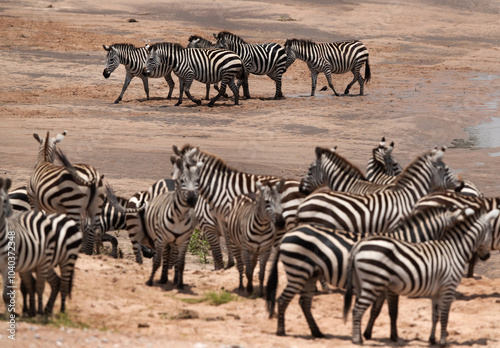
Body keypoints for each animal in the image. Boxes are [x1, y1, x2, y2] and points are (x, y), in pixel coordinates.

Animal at [144, 156, 202, 290]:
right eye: (182, 181)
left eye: (198, 181)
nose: (192, 198)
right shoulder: (161, 238)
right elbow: (159, 259)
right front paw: (154, 279)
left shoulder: (184, 240)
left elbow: (179, 261)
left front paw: (178, 282)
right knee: (165, 254)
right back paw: (164, 276)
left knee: (172, 254)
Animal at [268, 204, 466, 338]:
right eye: (461, 225)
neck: (407, 241)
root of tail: (288, 233)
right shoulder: (390, 285)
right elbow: (393, 311)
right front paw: (393, 336)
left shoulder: (380, 283)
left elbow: (375, 311)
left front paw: (368, 333)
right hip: (298, 271)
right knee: (283, 300)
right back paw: (281, 331)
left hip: (310, 274)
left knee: (304, 302)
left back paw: (317, 332)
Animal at [342, 205, 498, 344]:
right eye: (491, 232)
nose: (487, 256)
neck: (454, 250)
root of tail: (359, 244)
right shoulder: (448, 288)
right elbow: (445, 316)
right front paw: (443, 341)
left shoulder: (437, 292)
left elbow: (435, 316)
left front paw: (432, 340)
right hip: (373, 283)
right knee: (357, 310)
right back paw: (357, 340)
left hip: (362, 284)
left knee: (357, 309)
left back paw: (359, 336)